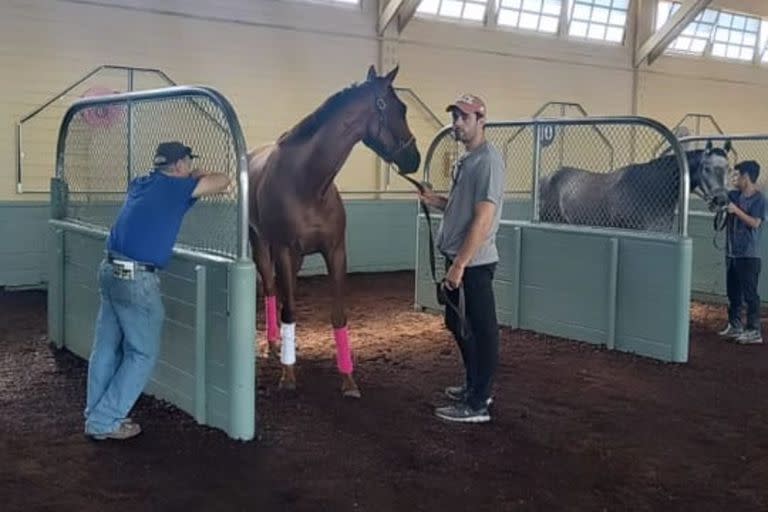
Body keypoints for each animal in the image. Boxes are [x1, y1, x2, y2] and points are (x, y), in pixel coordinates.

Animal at [248, 66, 420, 398]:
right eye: (401, 108)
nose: (414, 158)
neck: (308, 182)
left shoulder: (336, 251)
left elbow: (338, 315)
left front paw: (348, 380)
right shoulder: (284, 249)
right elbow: (289, 310)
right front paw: (288, 376)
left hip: (296, 257)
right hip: (262, 245)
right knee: (272, 291)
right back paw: (273, 346)